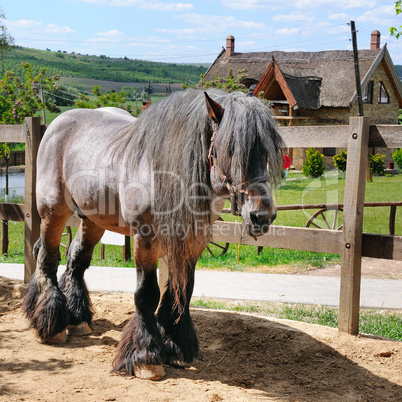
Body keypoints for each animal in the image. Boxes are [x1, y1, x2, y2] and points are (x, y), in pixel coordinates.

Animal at [22, 88, 286, 380]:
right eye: (230, 150)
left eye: (266, 152)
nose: (262, 216)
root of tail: (58, 124)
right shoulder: (145, 238)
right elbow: (147, 294)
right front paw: (145, 356)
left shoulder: (192, 241)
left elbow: (181, 291)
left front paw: (175, 345)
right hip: (53, 210)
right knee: (47, 257)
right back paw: (51, 324)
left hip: (93, 219)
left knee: (76, 259)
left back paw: (78, 319)